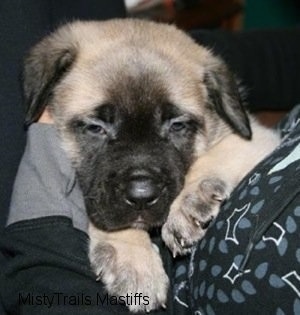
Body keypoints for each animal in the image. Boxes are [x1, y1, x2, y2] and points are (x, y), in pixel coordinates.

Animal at [24, 19, 282, 314]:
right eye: (96, 128)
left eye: (177, 126)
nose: (141, 196)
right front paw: (132, 259)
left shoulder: (257, 138)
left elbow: (214, 156)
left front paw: (188, 203)